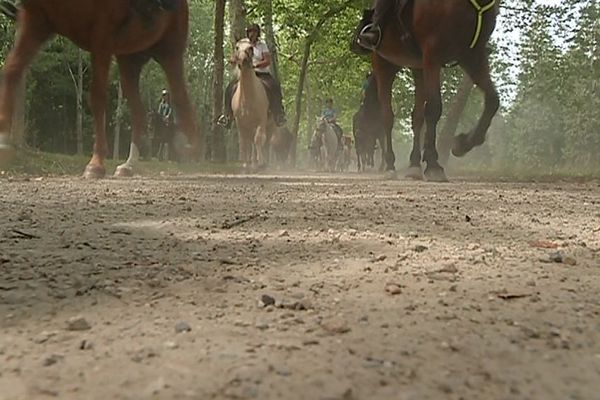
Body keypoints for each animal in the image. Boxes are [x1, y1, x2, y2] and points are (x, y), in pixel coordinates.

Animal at [0, 0, 202, 178]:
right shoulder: (37, 21)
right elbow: (11, 71)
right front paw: (3, 141)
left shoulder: (102, 36)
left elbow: (97, 97)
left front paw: (96, 164)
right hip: (129, 61)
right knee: (139, 112)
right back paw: (129, 166)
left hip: (169, 53)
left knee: (181, 97)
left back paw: (190, 148)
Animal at [231, 38, 274, 173]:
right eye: (237, 47)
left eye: (250, 48)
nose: (243, 60)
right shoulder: (240, 123)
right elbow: (244, 143)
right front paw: (245, 165)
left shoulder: (261, 120)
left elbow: (258, 140)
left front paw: (260, 164)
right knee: (251, 143)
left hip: (270, 125)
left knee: (264, 142)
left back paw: (263, 163)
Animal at [352, 0, 502, 181]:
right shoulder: (433, 54)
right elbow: (434, 108)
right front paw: (433, 164)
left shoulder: (472, 55)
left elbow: (492, 100)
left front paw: (462, 144)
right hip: (384, 65)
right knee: (387, 117)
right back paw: (390, 166)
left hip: (418, 67)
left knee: (416, 118)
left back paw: (414, 165)